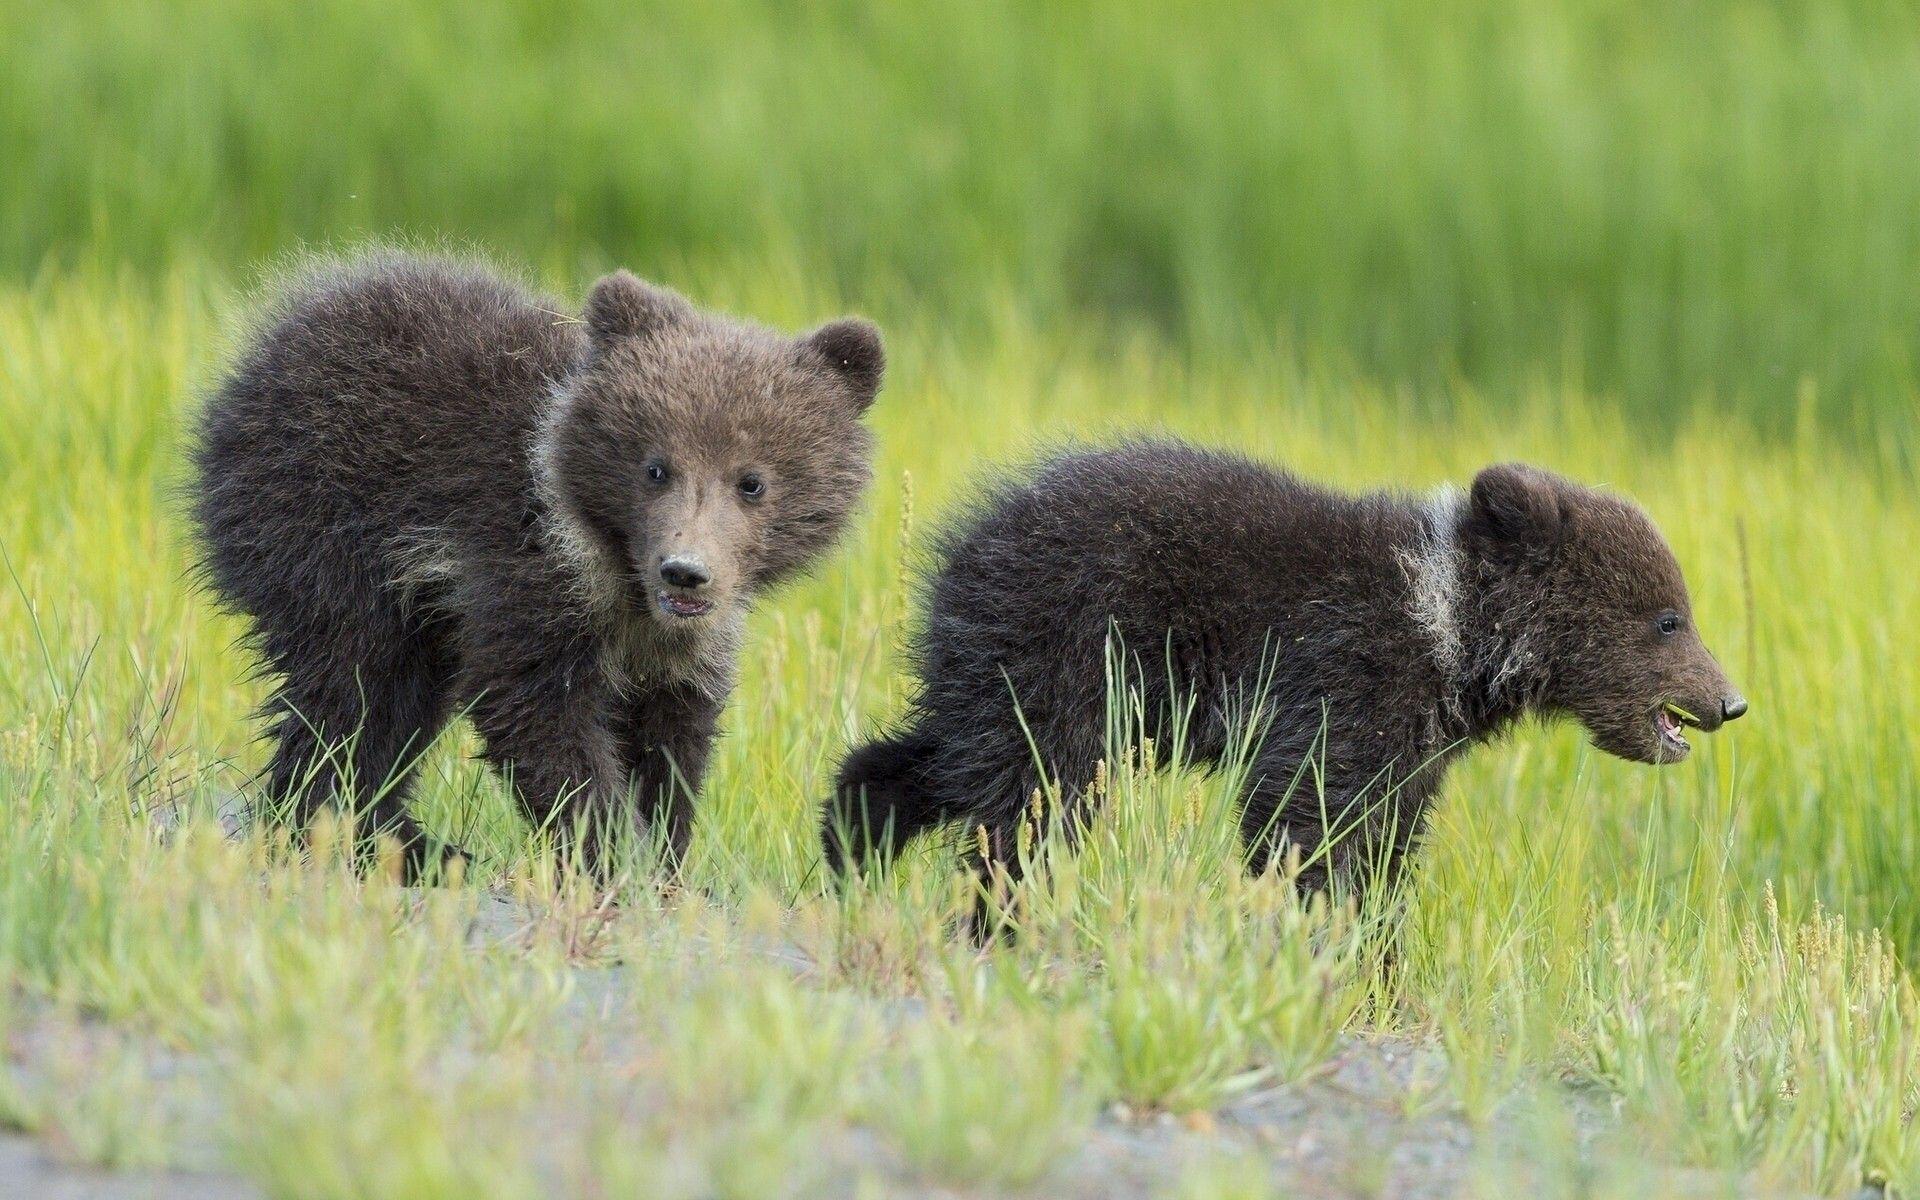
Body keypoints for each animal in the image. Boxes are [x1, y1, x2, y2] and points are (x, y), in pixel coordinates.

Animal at [192, 251, 885, 878]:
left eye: (751, 481)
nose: (685, 570)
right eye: (656, 466)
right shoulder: (527, 575)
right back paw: (364, 839)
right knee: (355, 686)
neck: (617, 573)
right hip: (325, 526)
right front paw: (615, 856)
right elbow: (539, 714)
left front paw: (666, 854)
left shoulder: (678, 649)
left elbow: (671, 738)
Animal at [825, 440, 1746, 905]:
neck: (1448, 627)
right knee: (1034, 794)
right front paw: (1318, 931)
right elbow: (1307, 819)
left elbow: (1386, 837)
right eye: (1670, 618)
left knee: (949, 759)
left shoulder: (1416, 744)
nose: (1730, 701)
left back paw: (850, 852)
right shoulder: (1347, 677)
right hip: (1069, 656)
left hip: (997, 671)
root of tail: (967, 543)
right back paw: (1001, 913)